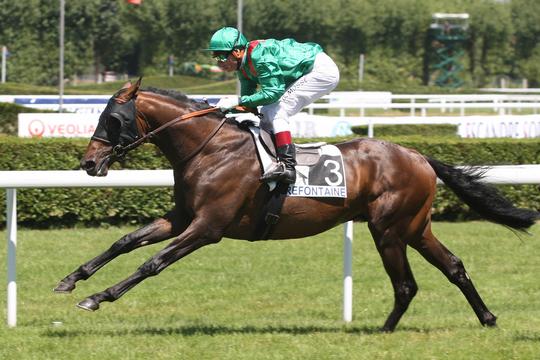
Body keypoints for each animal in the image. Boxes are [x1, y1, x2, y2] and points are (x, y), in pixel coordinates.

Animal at [52, 79, 536, 332]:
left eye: (113, 119)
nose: (88, 162)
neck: (210, 150)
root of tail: (418, 155)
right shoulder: (182, 217)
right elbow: (125, 241)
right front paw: (71, 280)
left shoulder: (208, 228)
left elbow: (152, 263)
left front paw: (97, 297)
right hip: (415, 227)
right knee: (453, 266)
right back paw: (487, 317)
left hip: (389, 228)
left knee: (406, 284)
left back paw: (384, 331)